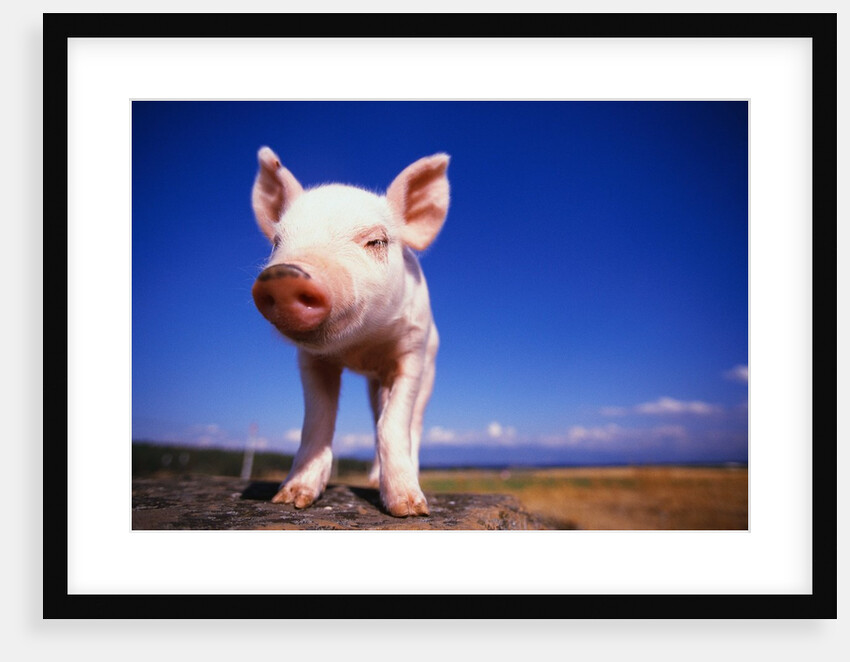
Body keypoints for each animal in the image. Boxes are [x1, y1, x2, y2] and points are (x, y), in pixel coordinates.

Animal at [250, 147, 449, 517]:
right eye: (277, 241)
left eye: (376, 240)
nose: (285, 275)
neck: (361, 347)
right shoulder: (311, 360)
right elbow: (317, 420)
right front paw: (290, 498)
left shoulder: (412, 352)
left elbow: (395, 422)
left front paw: (409, 509)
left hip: (430, 369)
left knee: (412, 421)